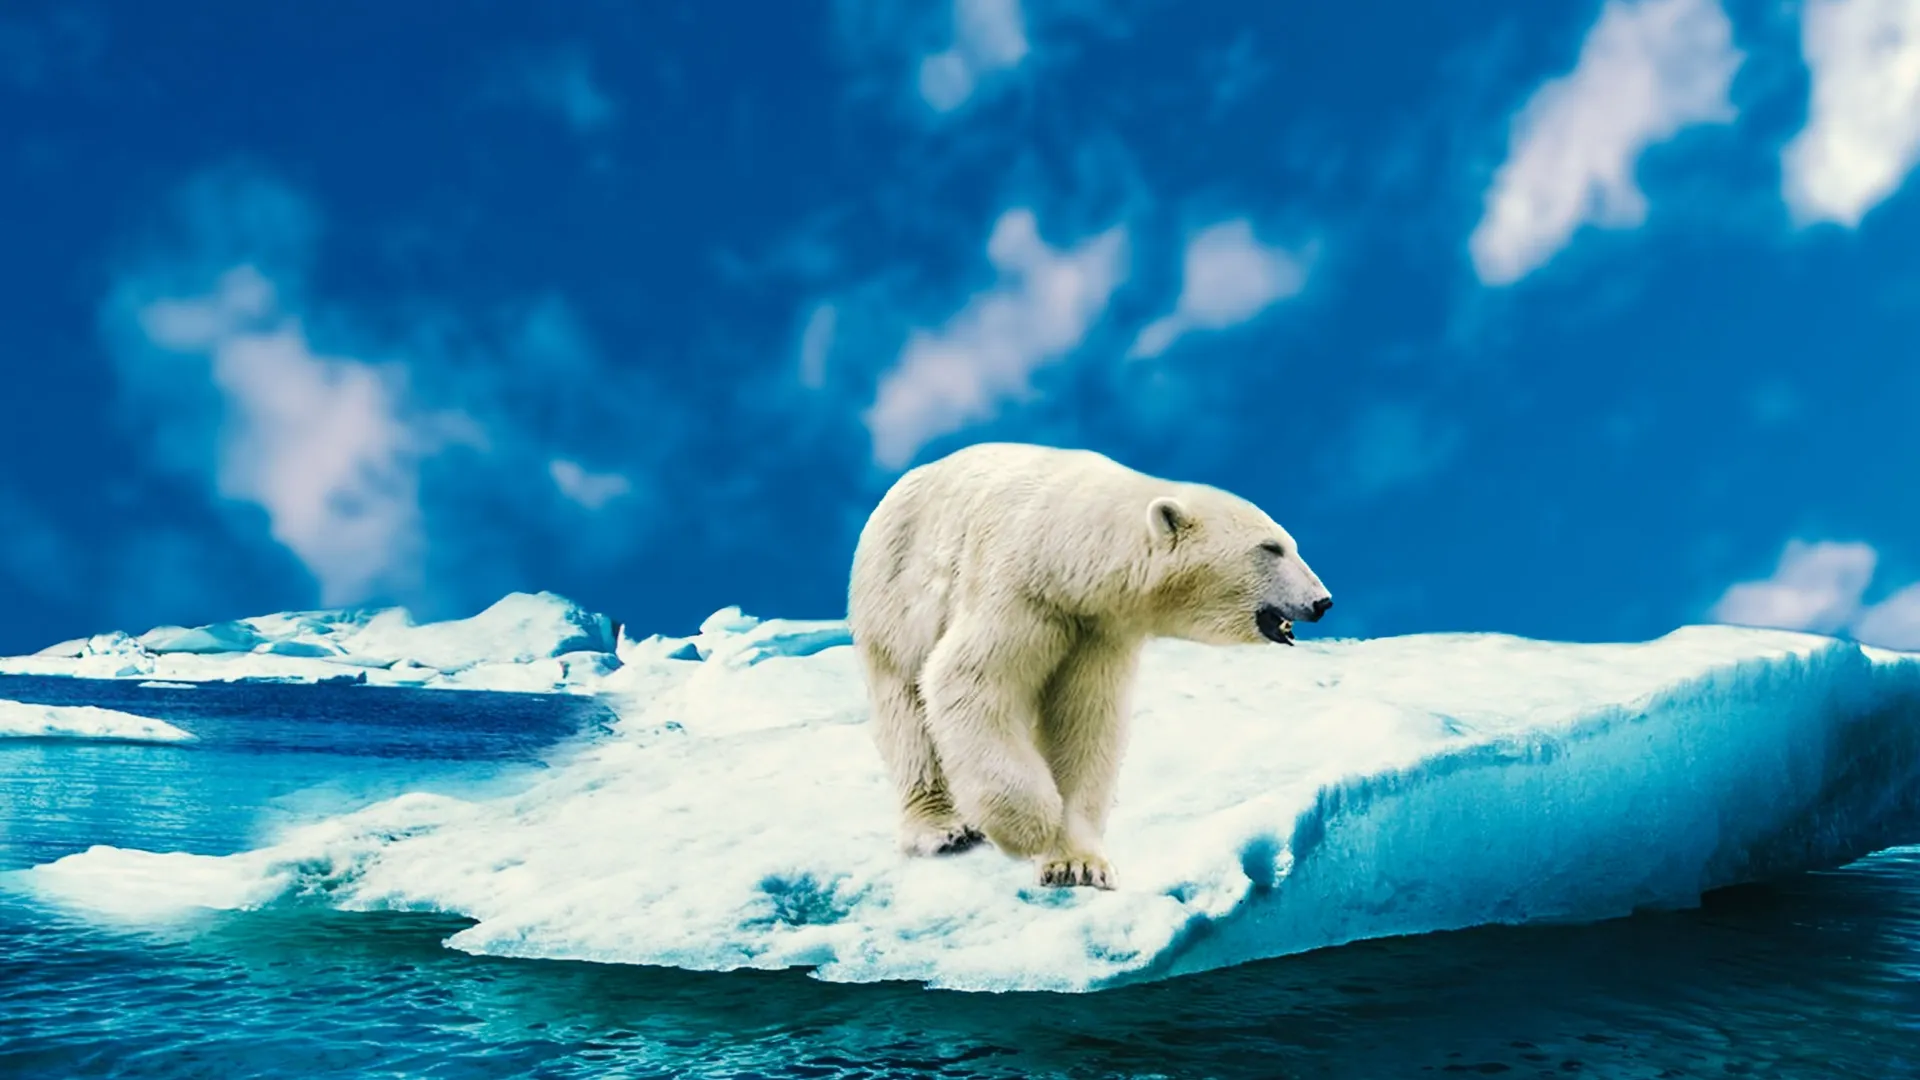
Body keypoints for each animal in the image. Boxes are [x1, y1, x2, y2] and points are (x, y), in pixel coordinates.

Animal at [847, 442, 1332, 890]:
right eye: (1270, 547)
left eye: (1287, 544)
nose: (1322, 601)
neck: (1067, 550)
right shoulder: (1020, 594)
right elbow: (968, 682)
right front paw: (1029, 826)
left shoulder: (1097, 630)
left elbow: (1083, 723)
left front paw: (1077, 864)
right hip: (894, 589)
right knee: (906, 708)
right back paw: (943, 828)